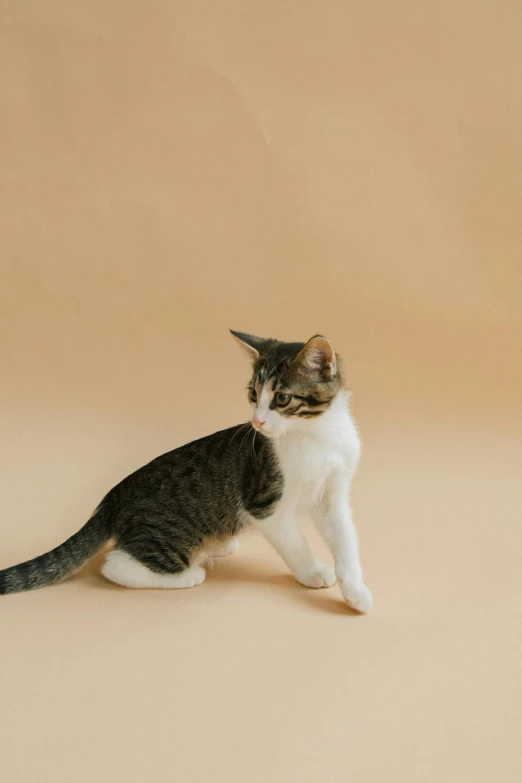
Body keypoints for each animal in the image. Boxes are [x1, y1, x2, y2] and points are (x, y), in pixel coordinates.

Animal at [2, 330, 372, 612]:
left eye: (281, 398)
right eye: (253, 394)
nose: (257, 422)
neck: (316, 437)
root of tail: (112, 499)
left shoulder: (333, 494)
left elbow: (346, 539)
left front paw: (355, 590)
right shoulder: (265, 505)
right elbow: (294, 543)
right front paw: (311, 572)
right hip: (171, 535)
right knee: (116, 565)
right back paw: (187, 575)